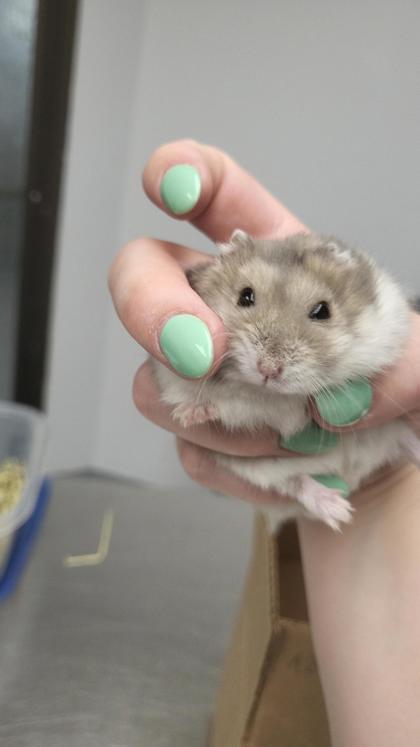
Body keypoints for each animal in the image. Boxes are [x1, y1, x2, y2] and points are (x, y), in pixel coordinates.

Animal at [153, 230, 420, 531]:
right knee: (296, 483)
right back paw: (338, 511)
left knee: (406, 440)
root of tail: (354, 475)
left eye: (322, 310)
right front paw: (188, 415)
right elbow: (225, 404)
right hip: (258, 471)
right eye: (245, 296)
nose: (268, 370)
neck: (272, 394)